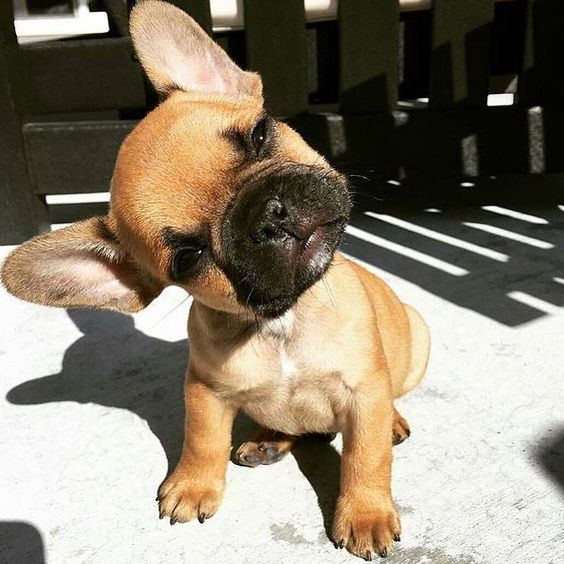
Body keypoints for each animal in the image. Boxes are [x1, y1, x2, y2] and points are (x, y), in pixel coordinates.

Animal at [2, 1, 430, 560]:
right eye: (189, 258)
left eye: (260, 134)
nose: (270, 216)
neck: (279, 321)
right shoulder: (204, 391)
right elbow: (200, 439)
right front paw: (193, 484)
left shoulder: (363, 393)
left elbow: (367, 455)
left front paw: (365, 513)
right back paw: (268, 440)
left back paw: (389, 422)